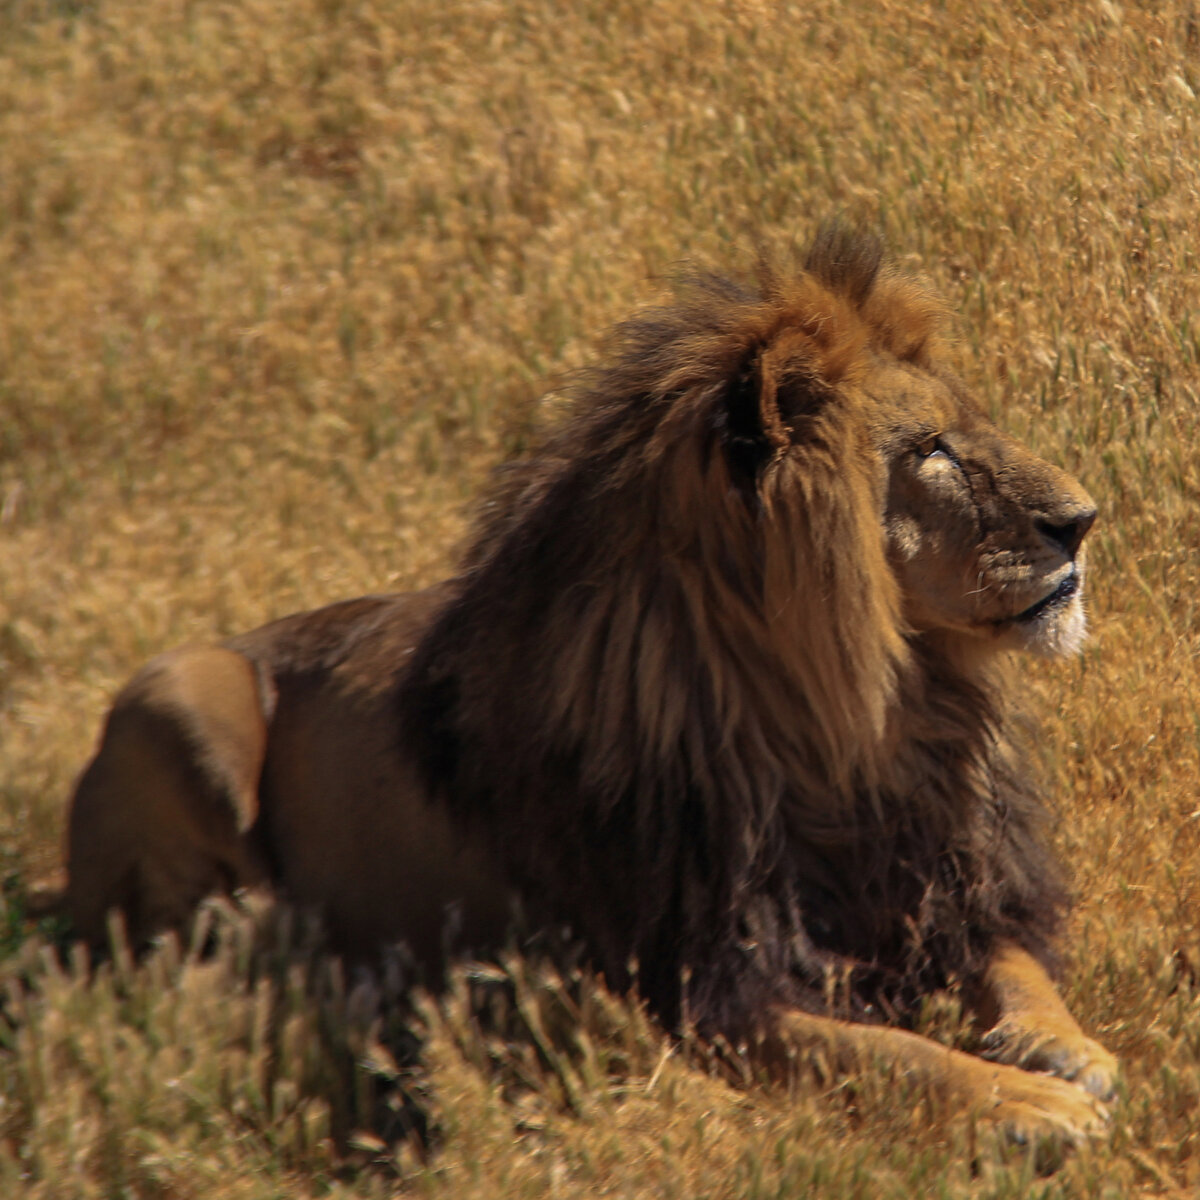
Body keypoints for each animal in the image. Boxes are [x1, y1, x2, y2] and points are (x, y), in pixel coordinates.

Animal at [63, 226, 1113, 1142]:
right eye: (928, 448)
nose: (1084, 521)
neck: (861, 725)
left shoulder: (950, 883)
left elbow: (1019, 970)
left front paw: (1067, 1051)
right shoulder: (702, 984)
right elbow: (887, 1055)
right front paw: (1029, 1103)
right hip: (179, 692)